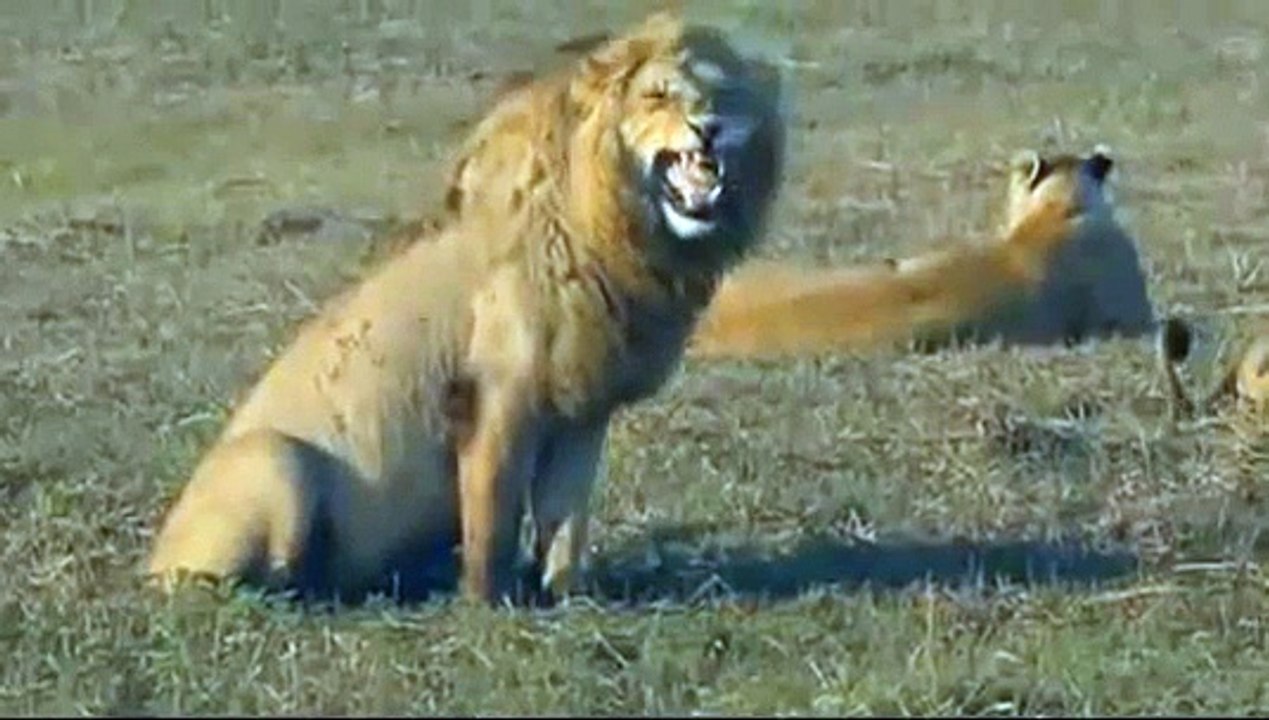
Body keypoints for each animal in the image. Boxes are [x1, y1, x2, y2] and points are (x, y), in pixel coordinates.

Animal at [144, 12, 787, 606]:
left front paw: (566, 596)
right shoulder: (497, 393)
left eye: (720, 95)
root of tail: (152, 558)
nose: (710, 129)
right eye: (657, 96)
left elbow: (566, 519)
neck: (624, 234)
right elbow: (494, 516)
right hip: (275, 457)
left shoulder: (582, 410)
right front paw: (487, 605)